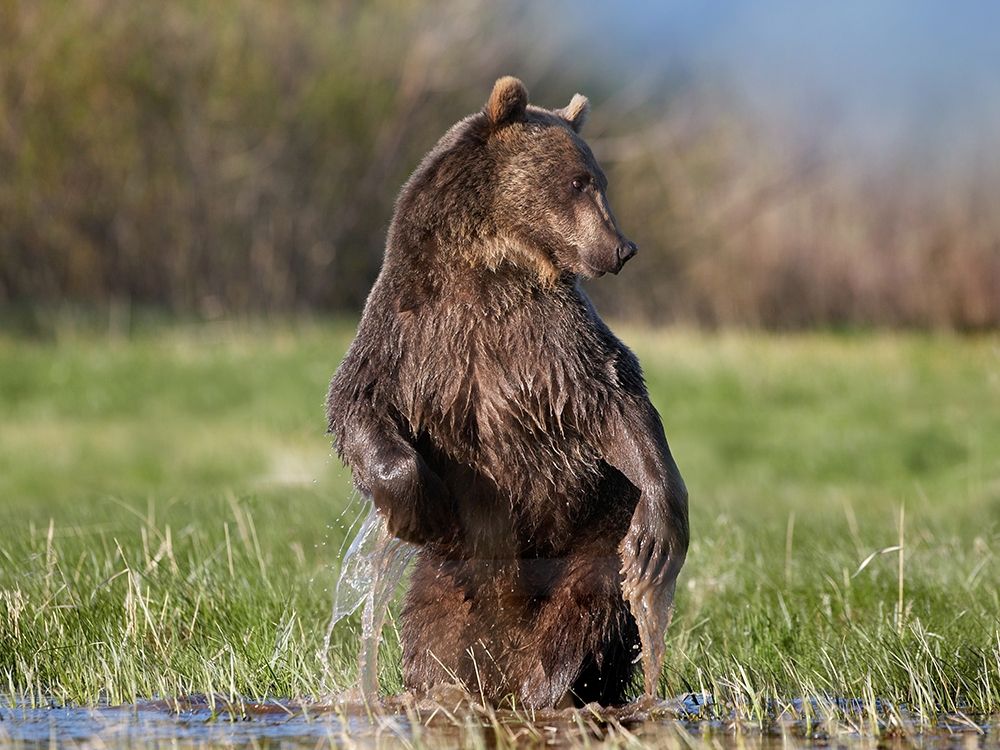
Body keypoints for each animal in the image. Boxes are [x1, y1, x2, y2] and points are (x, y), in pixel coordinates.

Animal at [326, 76, 688, 708]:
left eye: (598, 178)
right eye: (580, 180)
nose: (623, 247)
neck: (487, 263)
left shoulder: (553, 339)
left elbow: (616, 400)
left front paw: (659, 535)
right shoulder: (409, 332)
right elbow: (359, 404)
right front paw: (420, 503)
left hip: (589, 539)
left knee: (585, 613)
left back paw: (550, 687)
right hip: (446, 581)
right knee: (435, 638)